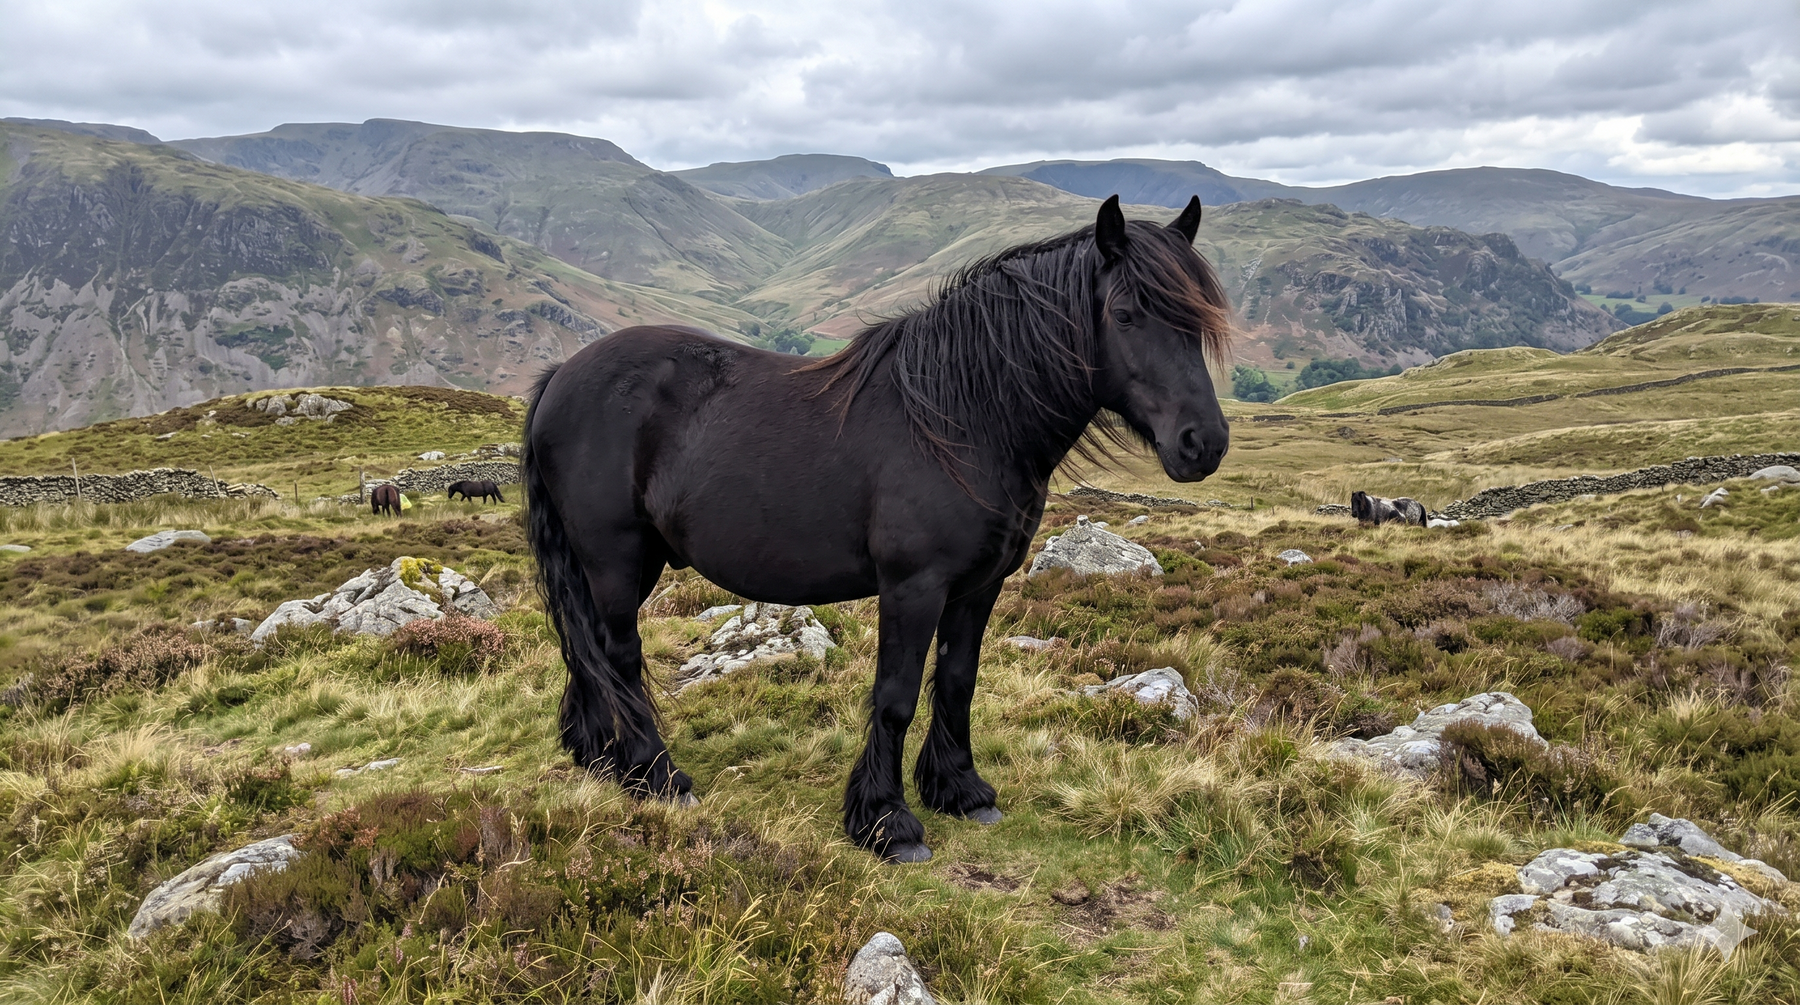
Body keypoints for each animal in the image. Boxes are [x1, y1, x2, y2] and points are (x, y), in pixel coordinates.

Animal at [522, 195, 1232, 862]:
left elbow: (957, 680)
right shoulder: (912, 587)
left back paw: (601, 760)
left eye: (1197, 320)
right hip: (615, 560)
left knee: (589, 651)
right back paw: (657, 776)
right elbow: (895, 697)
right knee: (619, 655)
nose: (1203, 444)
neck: (962, 419)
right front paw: (888, 823)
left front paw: (961, 790)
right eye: (1125, 314)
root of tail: (559, 377)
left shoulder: (979, 586)